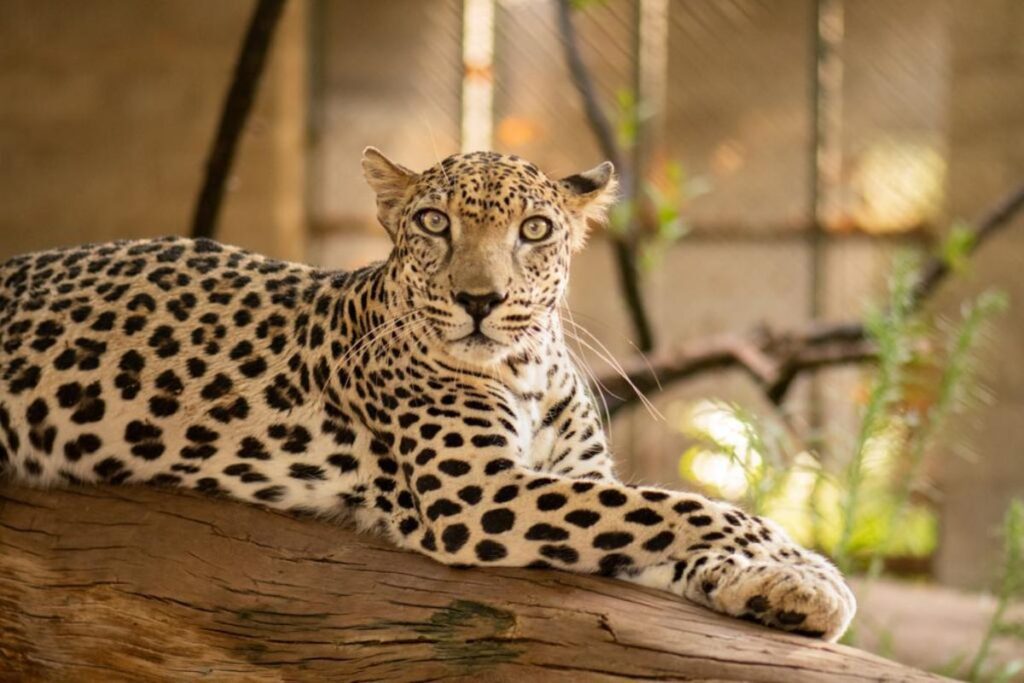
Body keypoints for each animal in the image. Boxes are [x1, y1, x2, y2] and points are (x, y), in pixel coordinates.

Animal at [0, 148, 856, 643]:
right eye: (435, 223)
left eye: (535, 229)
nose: (480, 299)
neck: (528, 367)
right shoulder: (481, 493)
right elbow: (684, 505)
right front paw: (810, 567)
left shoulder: (580, 479)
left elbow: (661, 528)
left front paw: (782, 588)